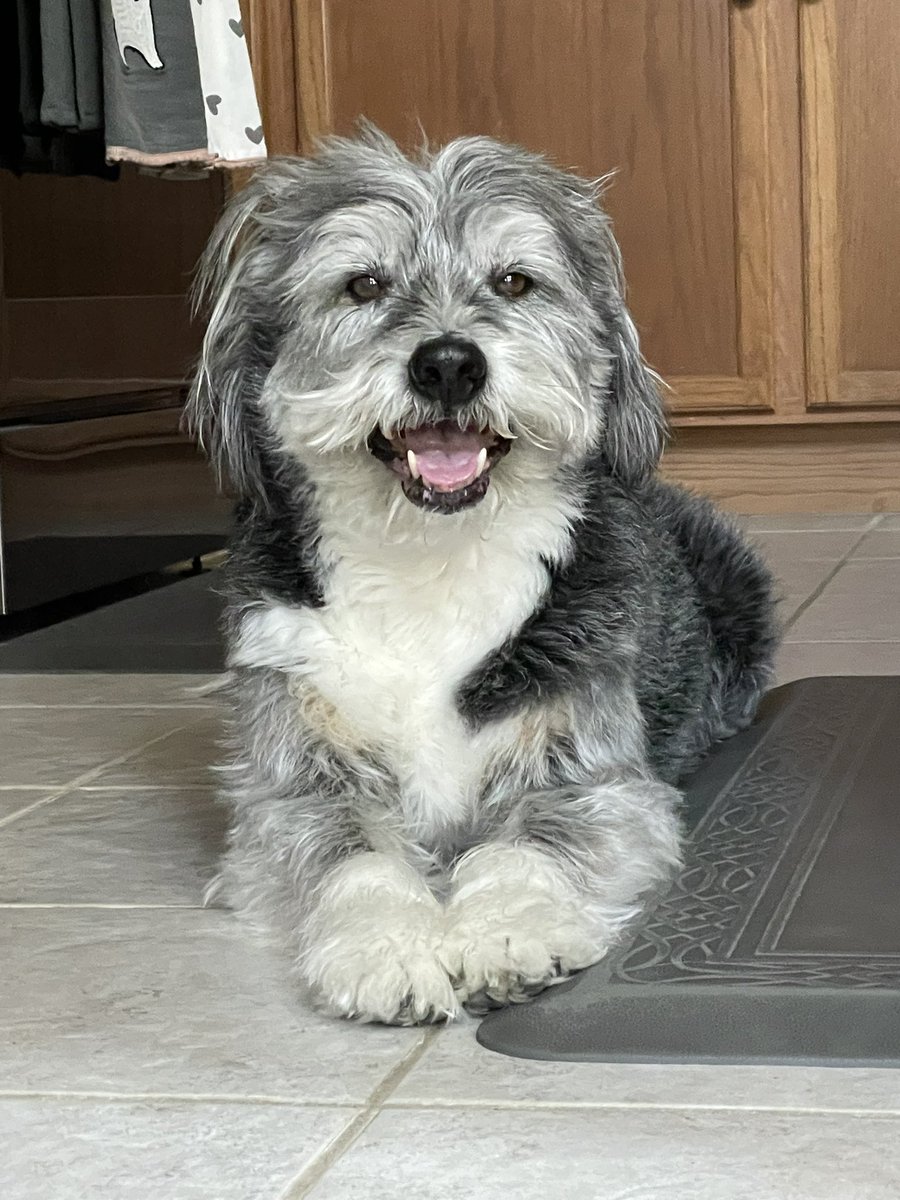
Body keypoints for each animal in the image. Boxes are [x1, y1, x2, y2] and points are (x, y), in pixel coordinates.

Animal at [190, 126, 782, 1027]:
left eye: (515, 281)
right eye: (363, 284)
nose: (447, 364)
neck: (431, 555)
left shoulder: (592, 767)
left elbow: (533, 838)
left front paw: (509, 930)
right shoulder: (290, 780)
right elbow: (349, 854)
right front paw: (388, 947)